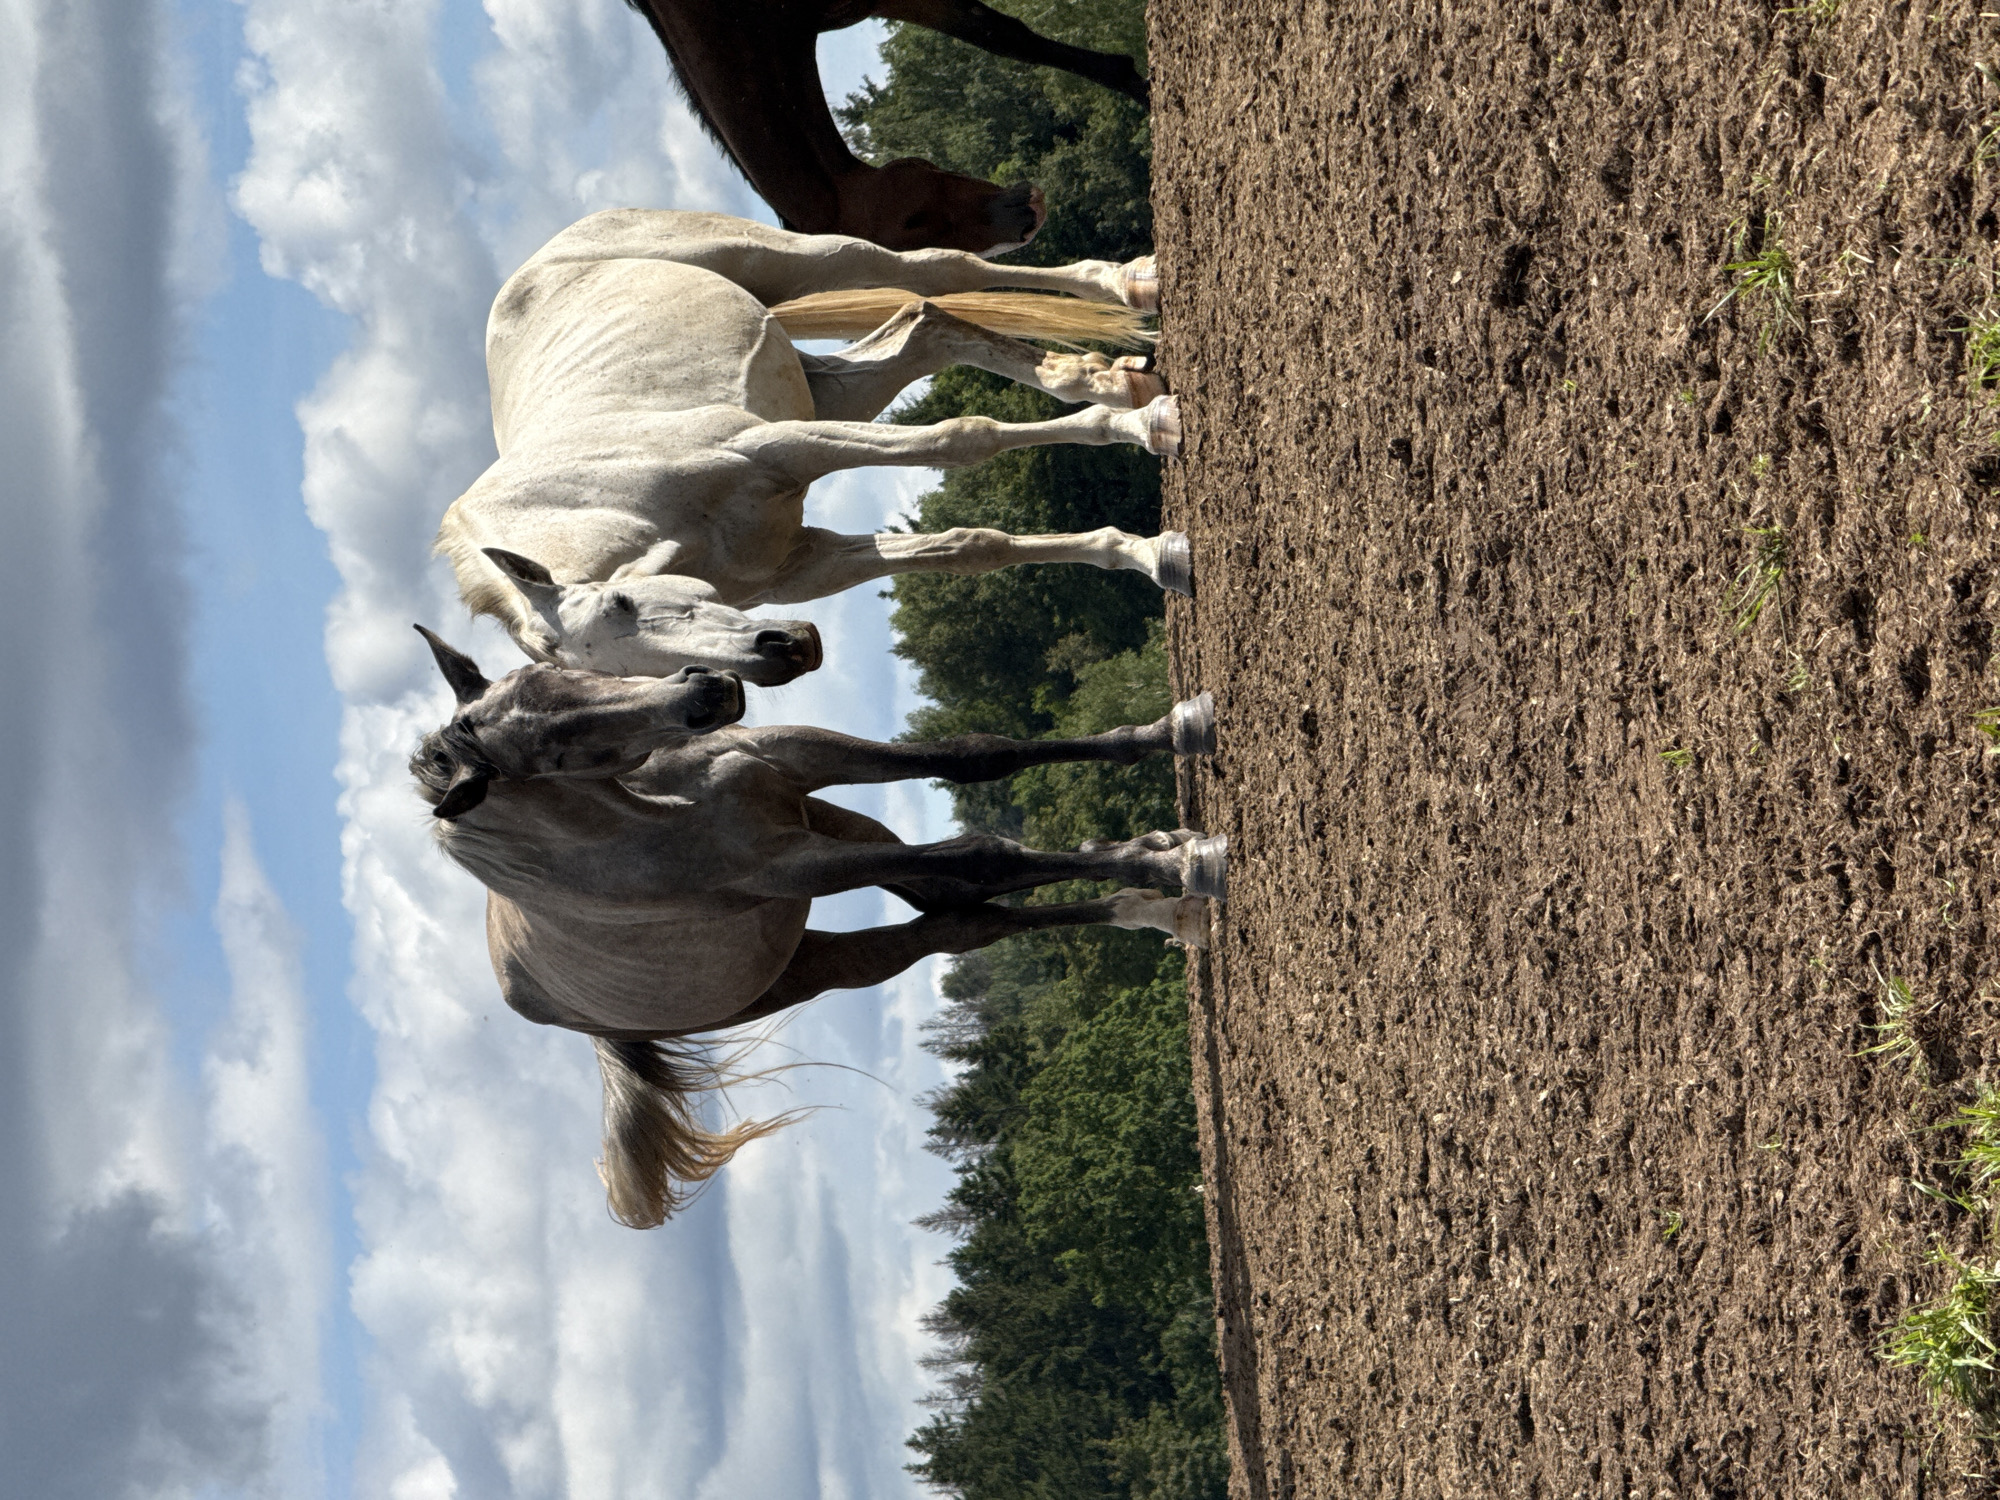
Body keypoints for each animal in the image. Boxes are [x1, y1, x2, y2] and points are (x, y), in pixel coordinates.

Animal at [409, 625, 1224, 1225]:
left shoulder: (800, 759)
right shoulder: (794, 868)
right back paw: (1162, 894)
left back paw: (1150, 902)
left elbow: (978, 757)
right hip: (818, 961)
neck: (653, 808)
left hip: (829, 819)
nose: (706, 691)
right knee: (955, 917)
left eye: (554, 671)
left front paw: (1175, 731)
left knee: (948, 898)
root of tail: (543, 1002)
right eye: (552, 753)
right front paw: (1178, 863)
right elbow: (983, 854)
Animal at [437, 209, 1190, 682]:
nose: (783, 653)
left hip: (798, 261)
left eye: (621, 604)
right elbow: (970, 548)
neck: (604, 503)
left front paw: (1150, 438)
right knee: (927, 325)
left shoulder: (786, 446)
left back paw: (1134, 289)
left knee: (937, 272)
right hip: (838, 389)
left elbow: (959, 439)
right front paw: (1148, 553)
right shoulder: (806, 562)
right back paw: (1113, 380)